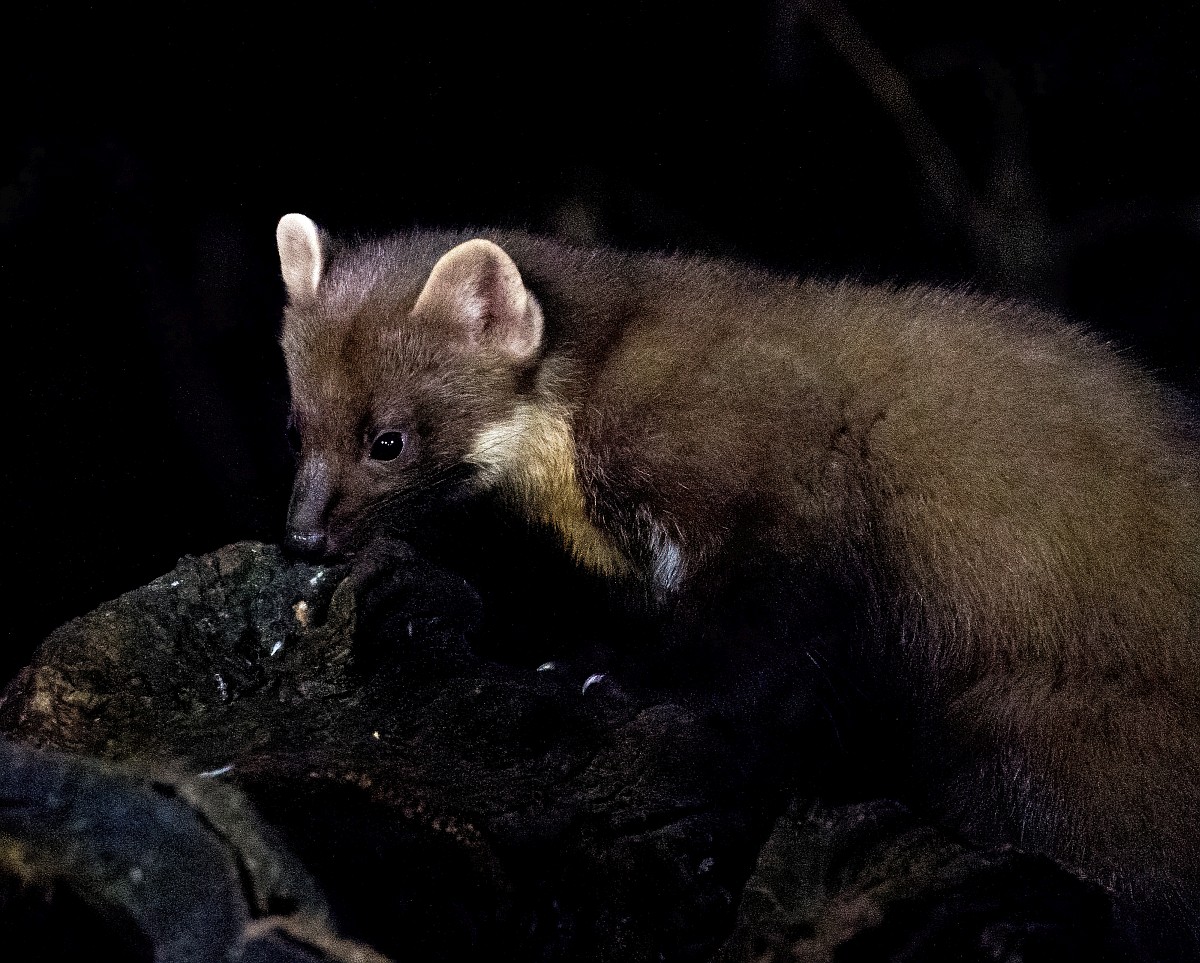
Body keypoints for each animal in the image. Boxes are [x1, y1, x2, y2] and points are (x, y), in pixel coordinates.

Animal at [276, 213, 1199, 958]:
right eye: (298, 422)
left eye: (388, 438)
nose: (304, 533)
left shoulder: (782, 512)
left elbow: (755, 654)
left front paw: (608, 678)